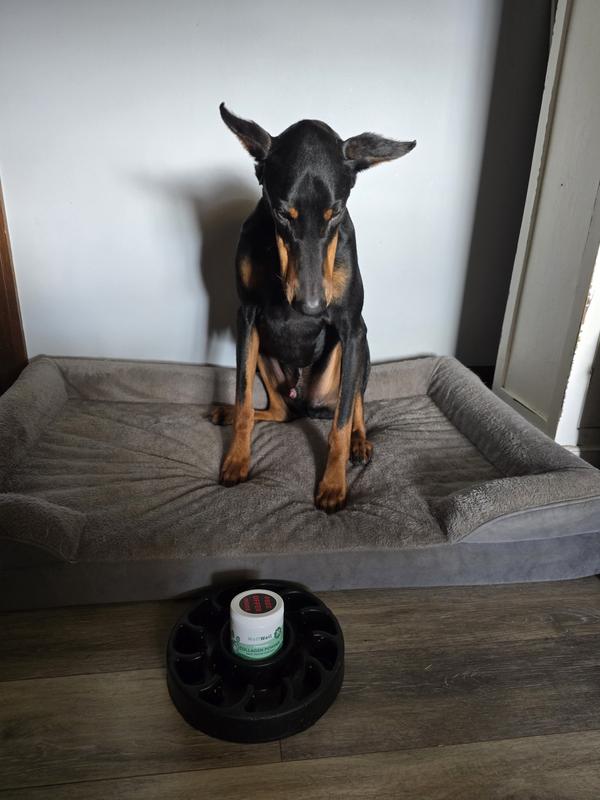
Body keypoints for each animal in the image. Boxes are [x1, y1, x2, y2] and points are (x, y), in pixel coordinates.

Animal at [212, 103, 415, 512]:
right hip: (264, 355)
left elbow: (340, 423)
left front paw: (333, 485)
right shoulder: (246, 317)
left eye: (334, 214)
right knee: (280, 412)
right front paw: (237, 460)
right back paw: (229, 412)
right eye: (281, 213)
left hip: (359, 355)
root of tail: (306, 400)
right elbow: (243, 398)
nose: (310, 305)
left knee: (353, 403)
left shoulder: (352, 327)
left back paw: (360, 442)